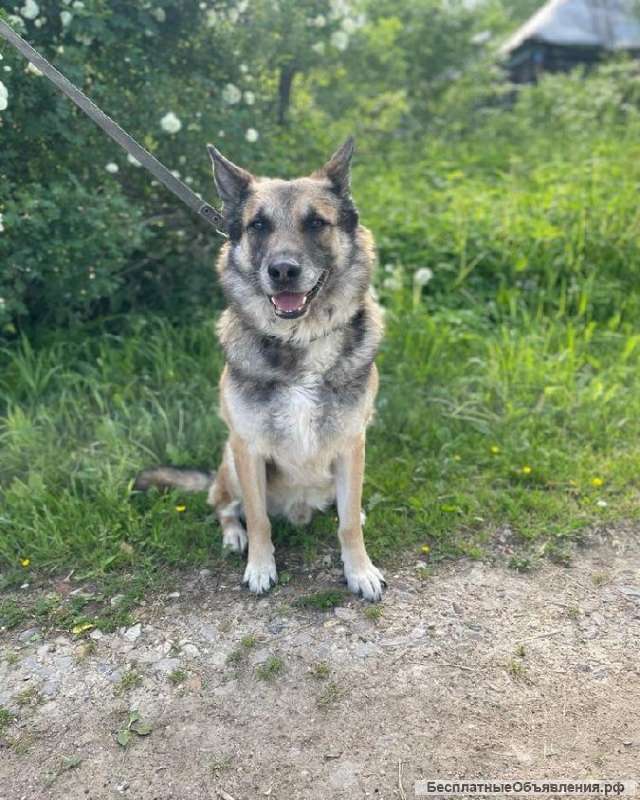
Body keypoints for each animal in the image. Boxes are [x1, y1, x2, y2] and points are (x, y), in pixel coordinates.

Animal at [136, 138, 386, 600]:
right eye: (258, 226)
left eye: (316, 222)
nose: (283, 271)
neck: (299, 341)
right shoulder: (248, 449)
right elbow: (258, 519)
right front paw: (260, 566)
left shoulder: (351, 445)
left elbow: (346, 524)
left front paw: (359, 570)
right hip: (230, 464)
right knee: (222, 505)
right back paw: (234, 536)